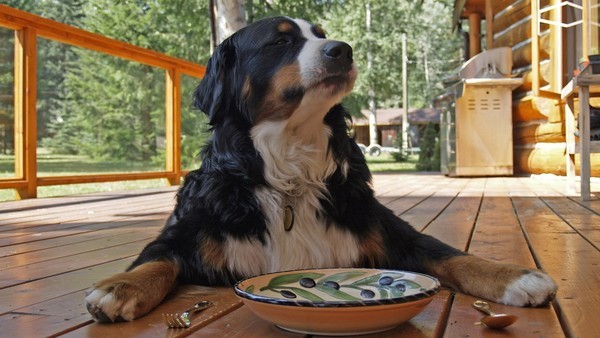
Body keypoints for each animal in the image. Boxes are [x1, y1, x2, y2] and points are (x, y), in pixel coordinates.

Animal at [84, 15, 556, 322]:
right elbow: (157, 261)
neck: (290, 170)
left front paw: (514, 277)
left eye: (322, 36)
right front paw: (119, 287)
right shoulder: (186, 232)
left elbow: (451, 255)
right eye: (279, 42)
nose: (342, 50)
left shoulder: (387, 229)